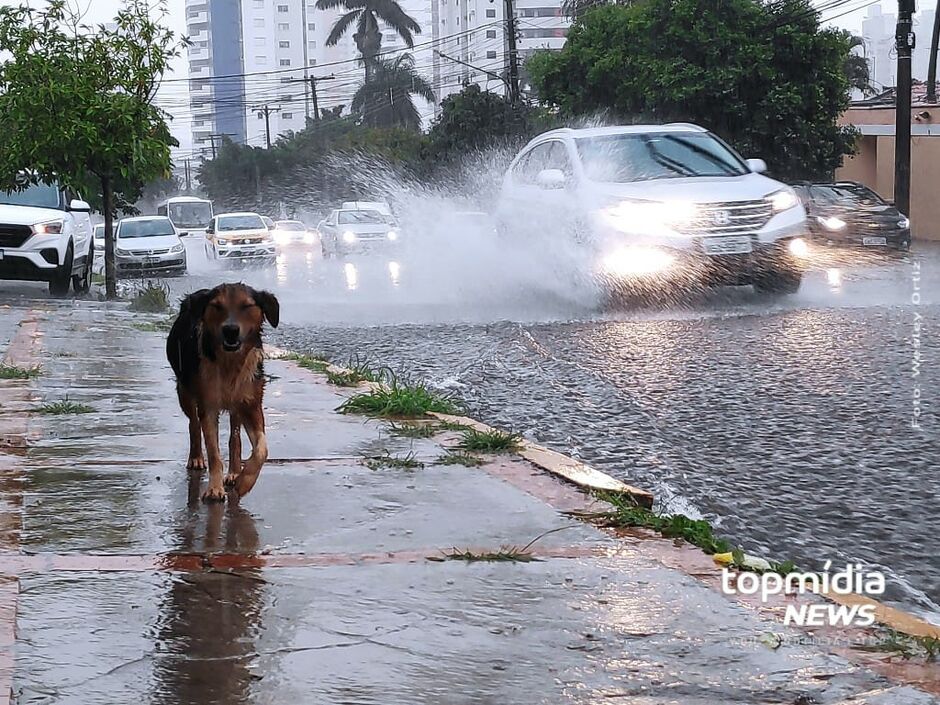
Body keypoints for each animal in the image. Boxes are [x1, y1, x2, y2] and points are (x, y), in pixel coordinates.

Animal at [166, 282, 280, 500]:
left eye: (246, 306)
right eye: (217, 306)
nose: (231, 330)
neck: (230, 363)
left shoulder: (252, 403)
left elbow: (262, 449)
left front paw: (244, 482)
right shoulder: (208, 404)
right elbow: (213, 452)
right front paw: (214, 489)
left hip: (238, 404)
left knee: (235, 436)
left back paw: (235, 472)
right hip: (184, 390)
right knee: (194, 423)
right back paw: (196, 457)